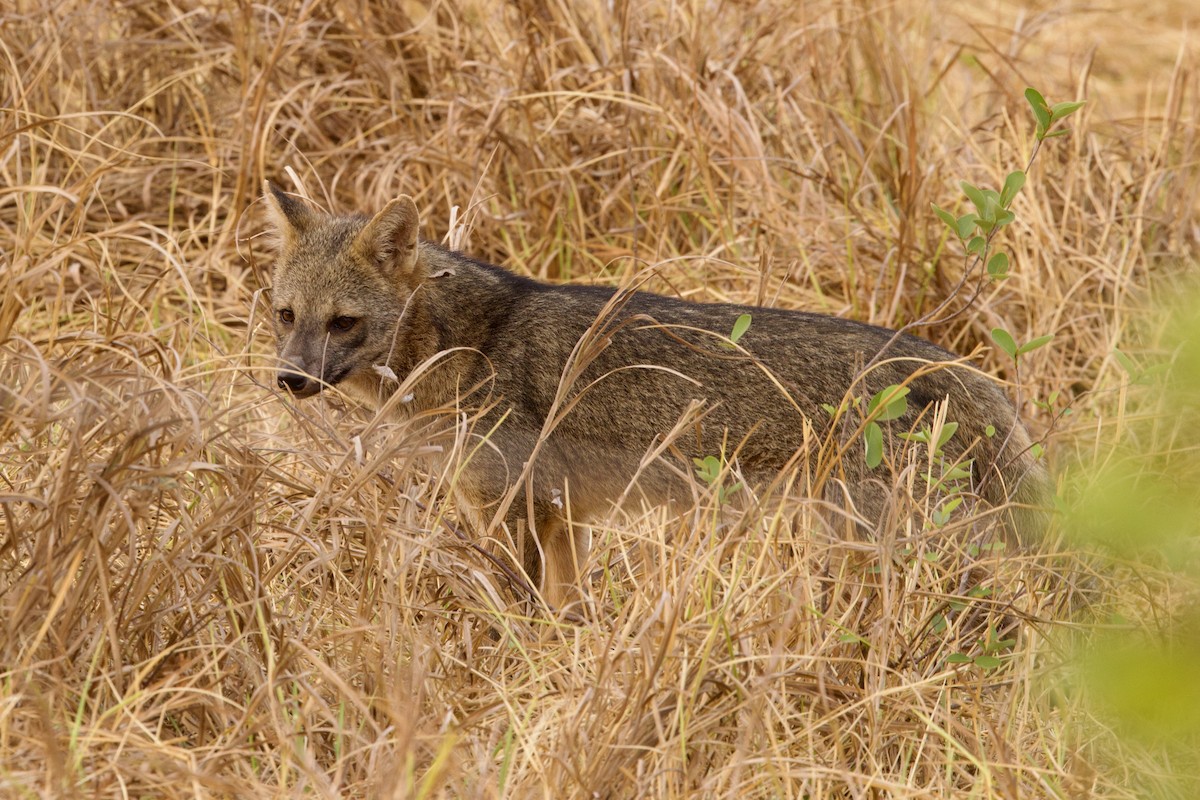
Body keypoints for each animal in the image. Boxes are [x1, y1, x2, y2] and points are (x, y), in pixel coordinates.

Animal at [261, 181, 1048, 610]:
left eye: (344, 323)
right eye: (285, 315)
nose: (289, 380)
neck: (470, 340)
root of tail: (948, 362)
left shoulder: (509, 514)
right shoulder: (563, 517)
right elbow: (566, 612)